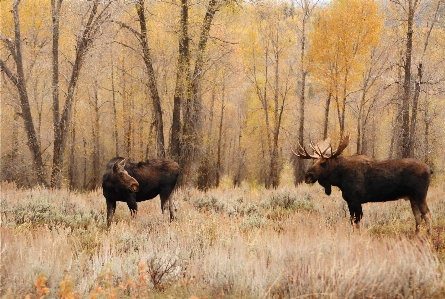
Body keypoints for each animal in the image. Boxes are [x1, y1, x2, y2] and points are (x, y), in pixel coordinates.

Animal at [294, 135, 432, 236]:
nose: (307, 175)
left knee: (427, 214)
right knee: (418, 216)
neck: (340, 178)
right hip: (412, 198)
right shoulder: (350, 202)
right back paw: (417, 235)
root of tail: (430, 169)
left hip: (420, 196)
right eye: (316, 160)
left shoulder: (355, 200)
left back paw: (428, 236)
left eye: (323, 162)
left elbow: (357, 221)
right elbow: (352, 221)